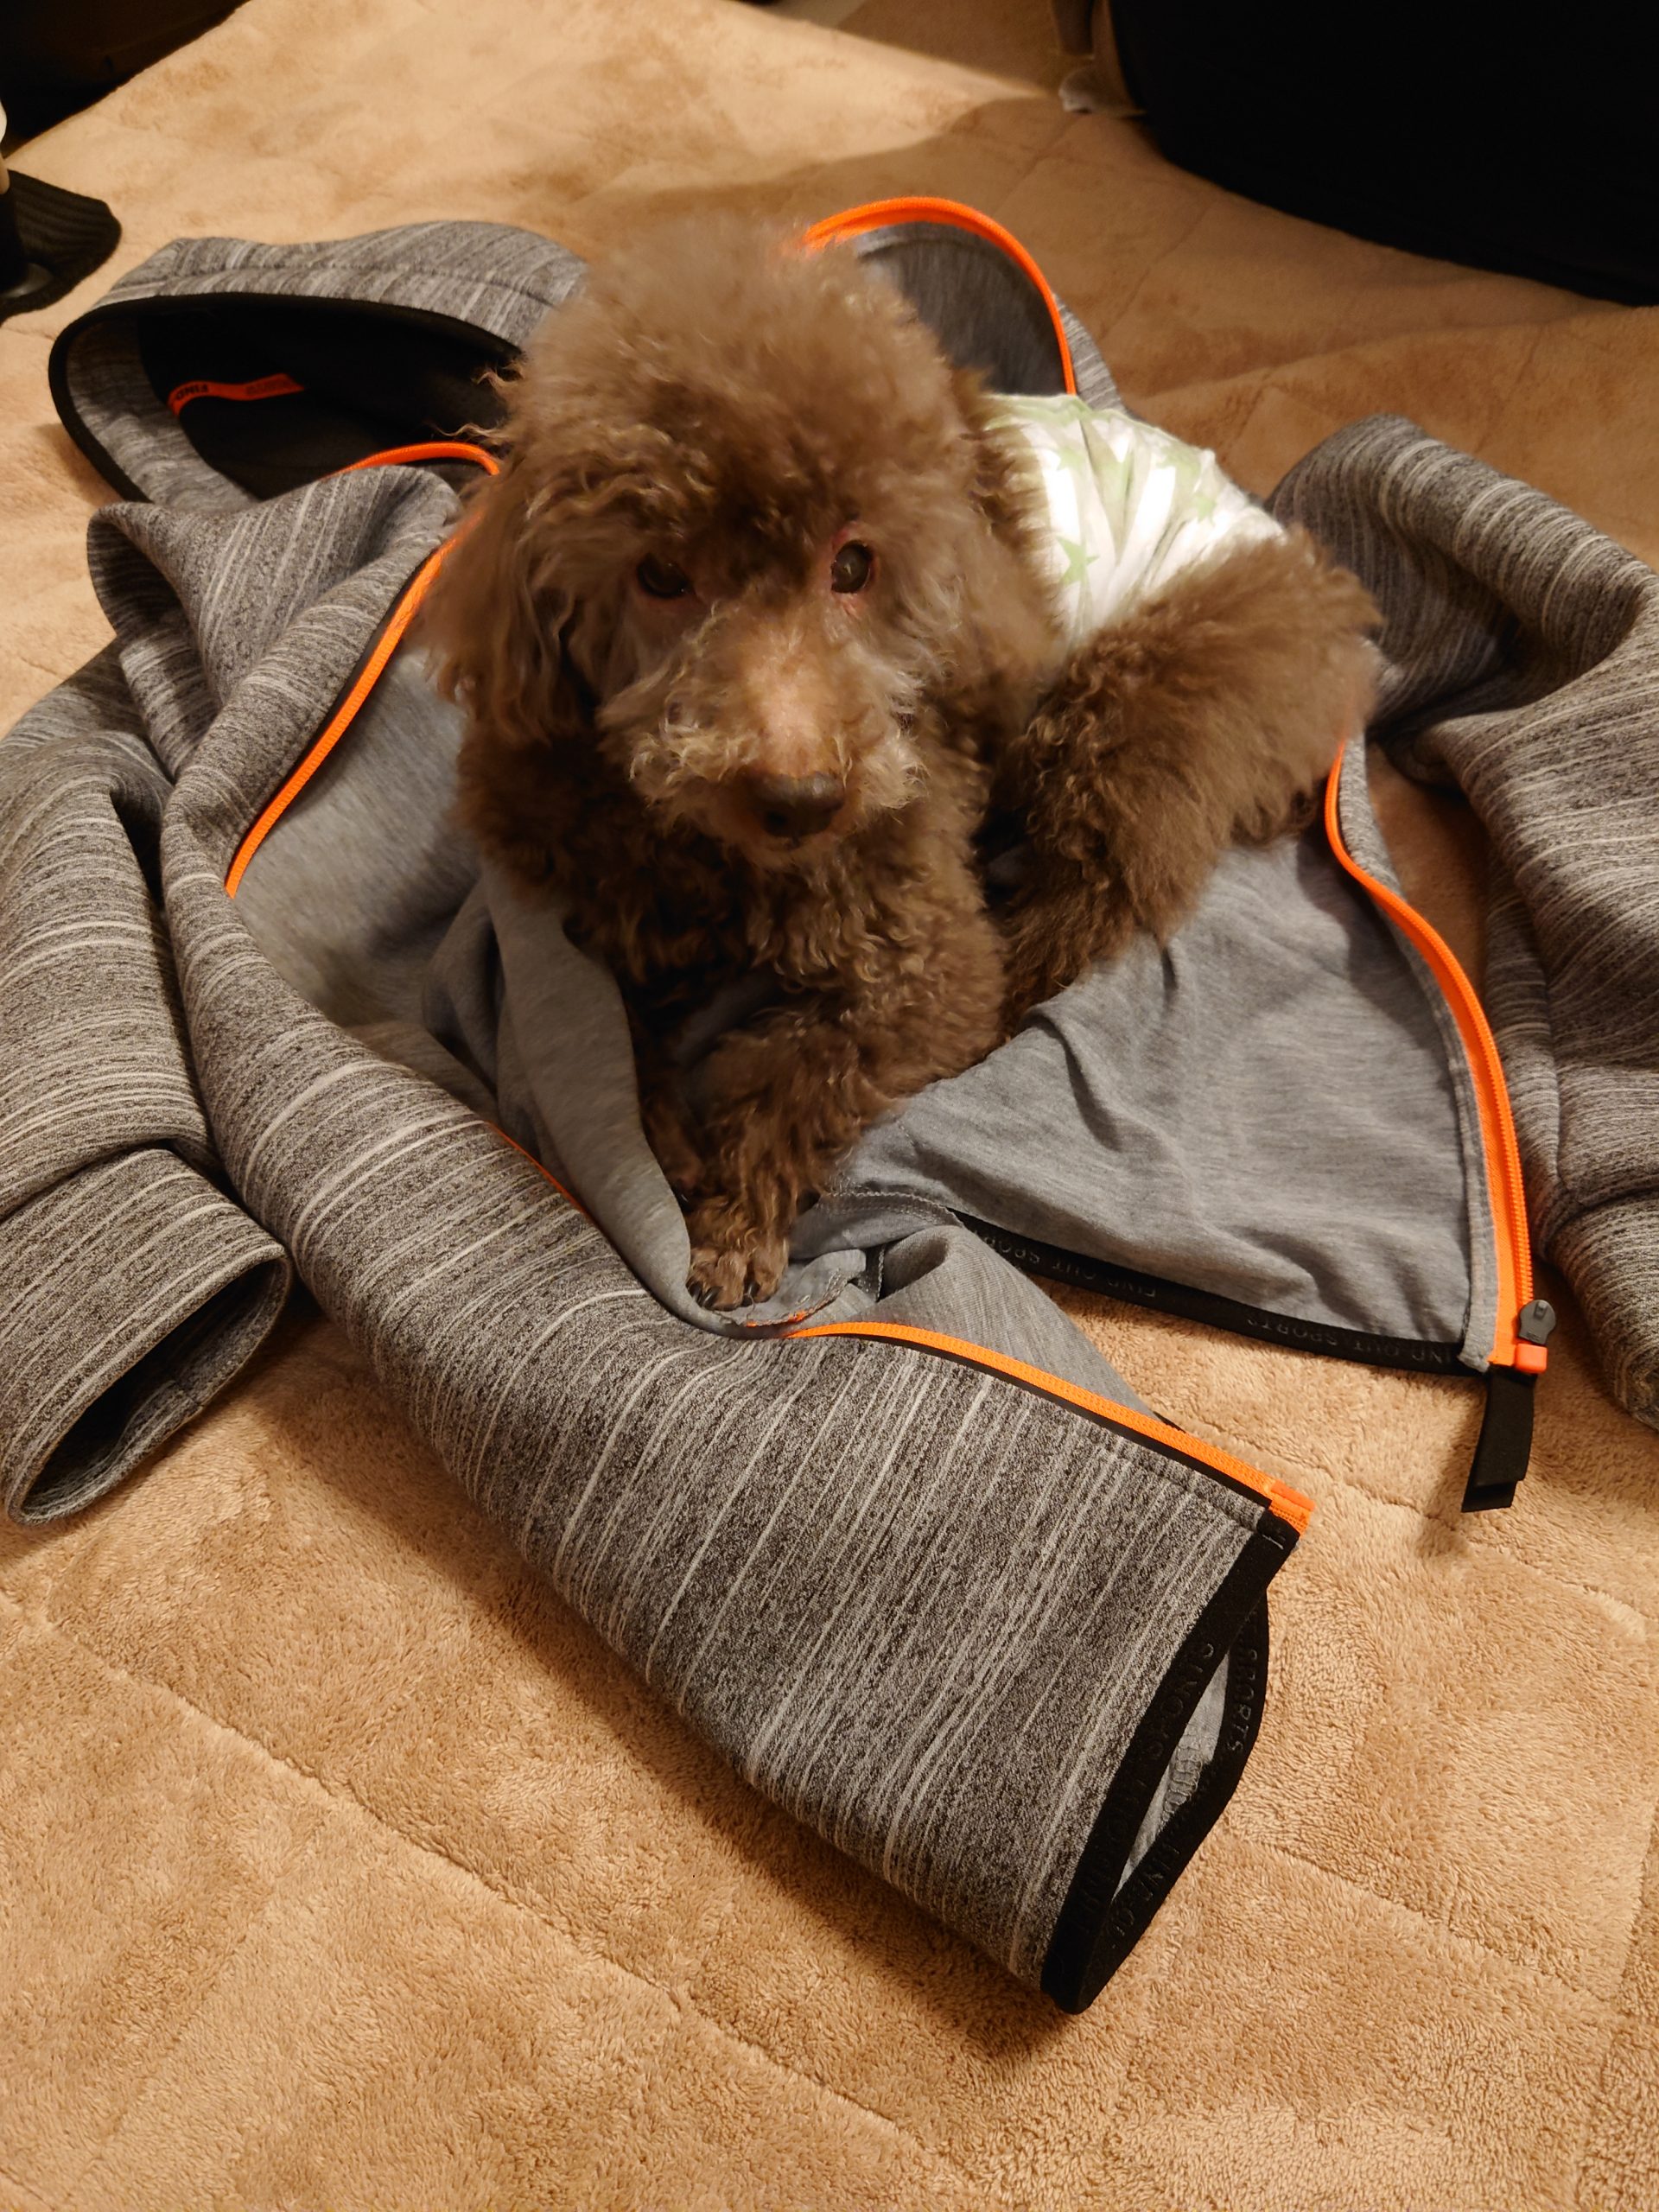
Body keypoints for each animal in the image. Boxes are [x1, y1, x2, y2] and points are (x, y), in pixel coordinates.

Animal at [425, 216, 1376, 1310]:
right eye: (659, 574)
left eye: (854, 565)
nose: (804, 800)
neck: (725, 866)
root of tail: (1329, 604)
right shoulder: (600, 898)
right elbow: (616, 1047)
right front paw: (671, 1151)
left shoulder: (926, 963)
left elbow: (800, 1068)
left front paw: (734, 1228)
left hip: (1141, 705)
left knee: (1093, 900)